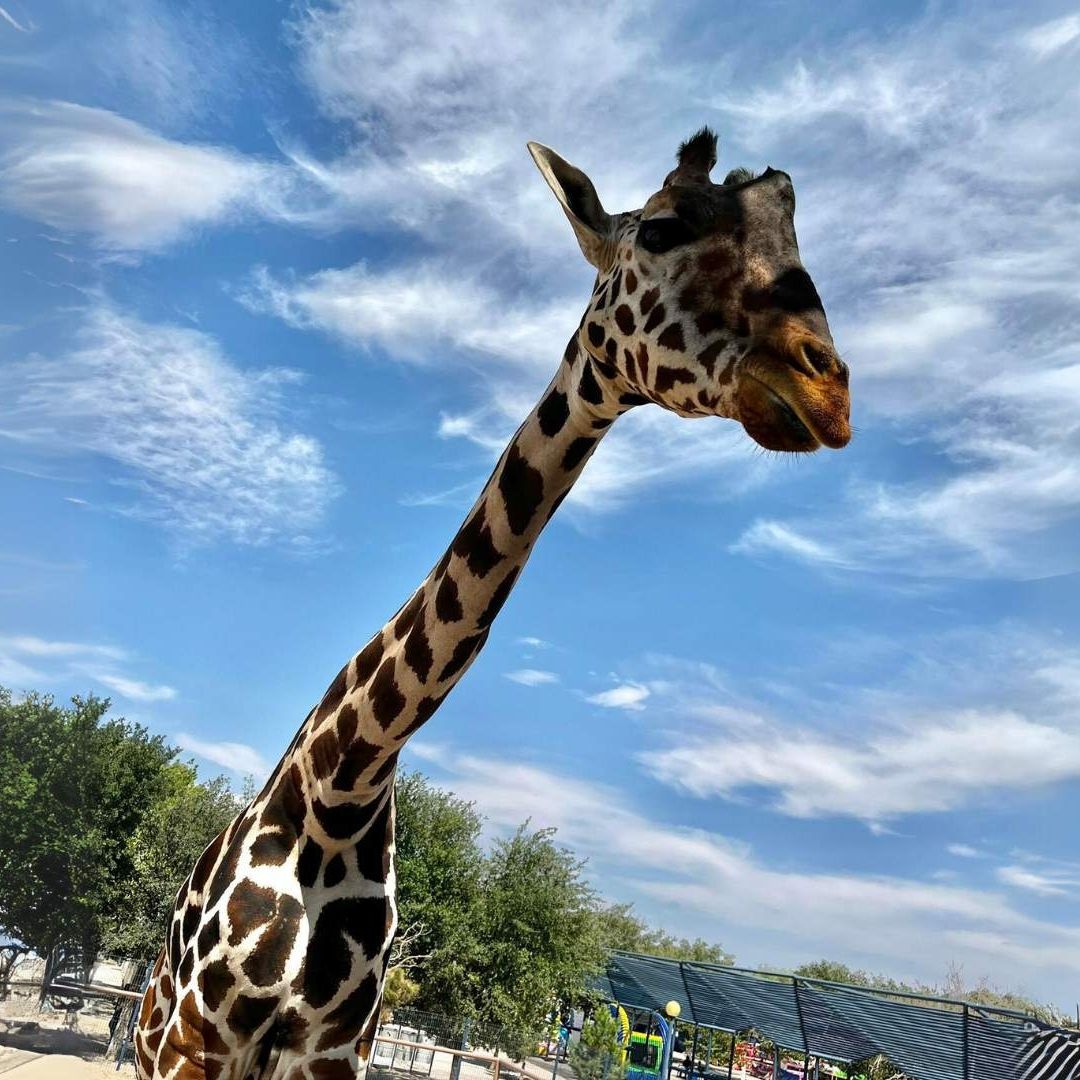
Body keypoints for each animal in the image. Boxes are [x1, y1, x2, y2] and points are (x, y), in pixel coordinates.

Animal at [134, 127, 851, 1080]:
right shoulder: (200, 1040)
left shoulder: (333, 1046)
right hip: (154, 1041)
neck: (342, 788)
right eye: (663, 228)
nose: (830, 392)